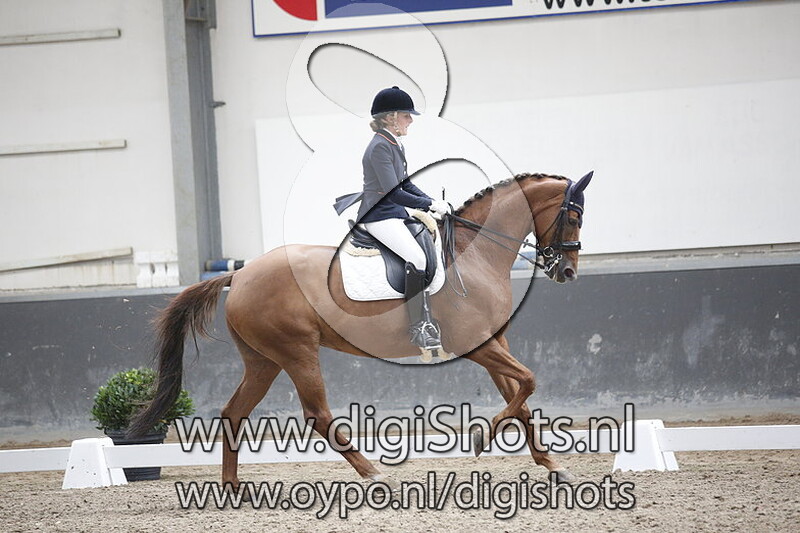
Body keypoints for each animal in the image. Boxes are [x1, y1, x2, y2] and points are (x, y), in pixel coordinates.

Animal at [129, 171, 593, 489]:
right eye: (573, 217)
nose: (568, 272)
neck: (472, 253)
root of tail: (239, 276)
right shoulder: (477, 346)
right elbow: (529, 382)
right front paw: (481, 437)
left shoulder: (496, 342)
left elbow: (523, 400)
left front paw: (552, 466)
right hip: (297, 352)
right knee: (317, 415)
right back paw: (375, 474)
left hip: (263, 360)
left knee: (233, 414)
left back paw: (233, 489)